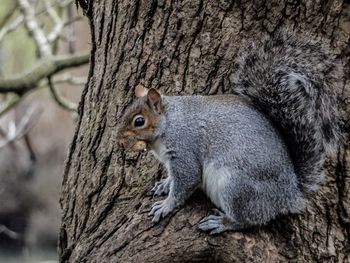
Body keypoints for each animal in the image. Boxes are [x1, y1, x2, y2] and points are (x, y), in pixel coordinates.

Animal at [116, 30, 344, 235]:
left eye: (139, 121)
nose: (118, 140)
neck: (169, 124)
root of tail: (290, 194)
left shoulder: (184, 149)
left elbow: (185, 181)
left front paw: (166, 205)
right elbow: (174, 177)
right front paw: (165, 184)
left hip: (236, 189)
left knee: (249, 220)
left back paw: (223, 223)